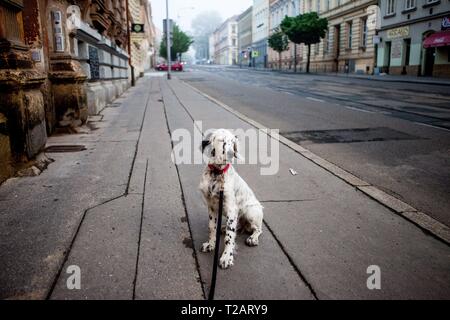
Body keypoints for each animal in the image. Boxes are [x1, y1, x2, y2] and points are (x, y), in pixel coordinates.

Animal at [198, 129, 264, 268]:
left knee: (258, 229)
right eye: (221, 140)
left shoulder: (231, 209)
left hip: (251, 212)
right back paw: (223, 228)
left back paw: (253, 238)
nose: (230, 154)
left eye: (232, 142)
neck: (217, 174)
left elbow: (229, 237)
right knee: (237, 226)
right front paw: (210, 244)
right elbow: (212, 227)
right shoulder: (211, 207)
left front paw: (227, 257)